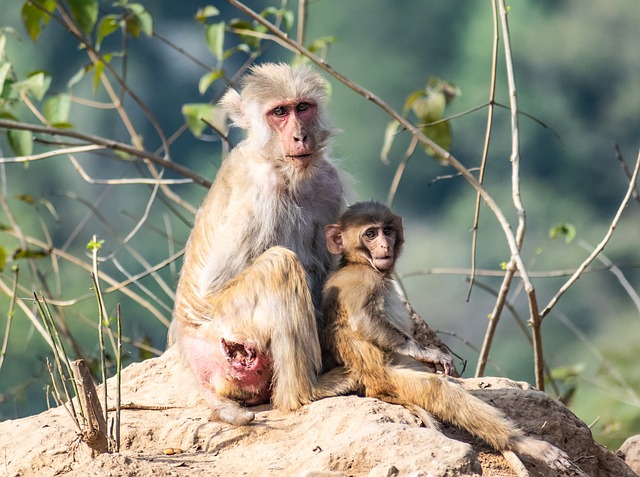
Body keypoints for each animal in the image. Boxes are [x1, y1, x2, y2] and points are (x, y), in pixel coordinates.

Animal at [170, 62, 350, 424]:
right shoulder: (260, 190)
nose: (300, 136)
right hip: (230, 333)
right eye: (279, 112)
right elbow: (215, 285)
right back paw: (304, 391)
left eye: (302, 107)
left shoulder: (329, 183)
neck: (283, 169)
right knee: (280, 265)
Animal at [324, 200, 568, 468]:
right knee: (440, 389)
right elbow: (363, 320)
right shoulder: (362, 279)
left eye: (387, 231)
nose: (384, 245)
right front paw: (431, 353)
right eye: (370, 234)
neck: (359, 263)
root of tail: (371, 387)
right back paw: (521, 442)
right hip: (390, 378)